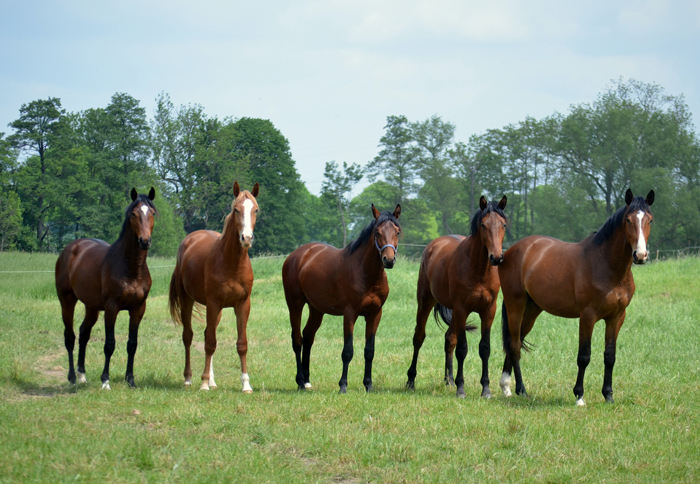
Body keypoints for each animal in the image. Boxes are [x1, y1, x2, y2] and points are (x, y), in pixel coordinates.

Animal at [56, 187, 157, 388]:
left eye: (152, 213)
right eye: (134, 214)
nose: (144, 241)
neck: (131, 267)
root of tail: (70, 248)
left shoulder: (138, 308)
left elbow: (132, 344)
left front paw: (131, 380)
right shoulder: (112, 308)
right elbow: (109, 344)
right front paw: (105, 381)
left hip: (92, 307)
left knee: (83, 333)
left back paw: (82, 375)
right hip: (67, 301)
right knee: (70, 337)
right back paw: (72, 378)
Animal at [169, 182, 260, 394]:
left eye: (256, 210)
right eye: (236, 210)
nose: (246, 238)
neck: (231, 262)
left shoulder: (242, 305)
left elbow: (241, 344)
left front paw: (246, 384)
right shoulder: (213, 303)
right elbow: (210, 343)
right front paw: (203, 383)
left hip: (217, 310)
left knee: (206, 334)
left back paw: (212, 380)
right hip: (188, 301)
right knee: (189, 336)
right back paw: (189, 378)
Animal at [280, 204, 400, 394]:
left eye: (397, 231)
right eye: (377, 232)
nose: (389, 260)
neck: (366, 273)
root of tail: (296, 255)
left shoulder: (374, 314)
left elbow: (369, 351)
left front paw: (368, 385)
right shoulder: (350, 314)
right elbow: (348, 351)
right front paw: (343, 385)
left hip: (316, 310)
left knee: (308, 336)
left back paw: (307, 380)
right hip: (295, 305)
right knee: (297, 340)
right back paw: (300, 382)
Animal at [404, 196, 508, 398]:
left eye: (503, 225)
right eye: (483, 225)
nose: (496, 257)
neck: (479, 268)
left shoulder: (488, 311)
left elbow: (484, 348)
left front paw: (485, 389)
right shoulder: (462, 308)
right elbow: (462, 349)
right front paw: (461, 388)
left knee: (449, 338)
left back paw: (449, 380)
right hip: (426, 302)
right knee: (419, 337)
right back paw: (411, 380)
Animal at [498, 188, 656, 404]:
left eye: (650, 220)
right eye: (628, 220)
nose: (640, 255)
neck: (606, 265)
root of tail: (510, 251)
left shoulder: (616, 317)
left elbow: (610, 356)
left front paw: (608, 395)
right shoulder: (587, 316)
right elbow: (584, 356)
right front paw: (579, 395)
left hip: (531, 310)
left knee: (516, 340)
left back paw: (506, 387)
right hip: (516, 305)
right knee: (514, 345)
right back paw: (521, 389)